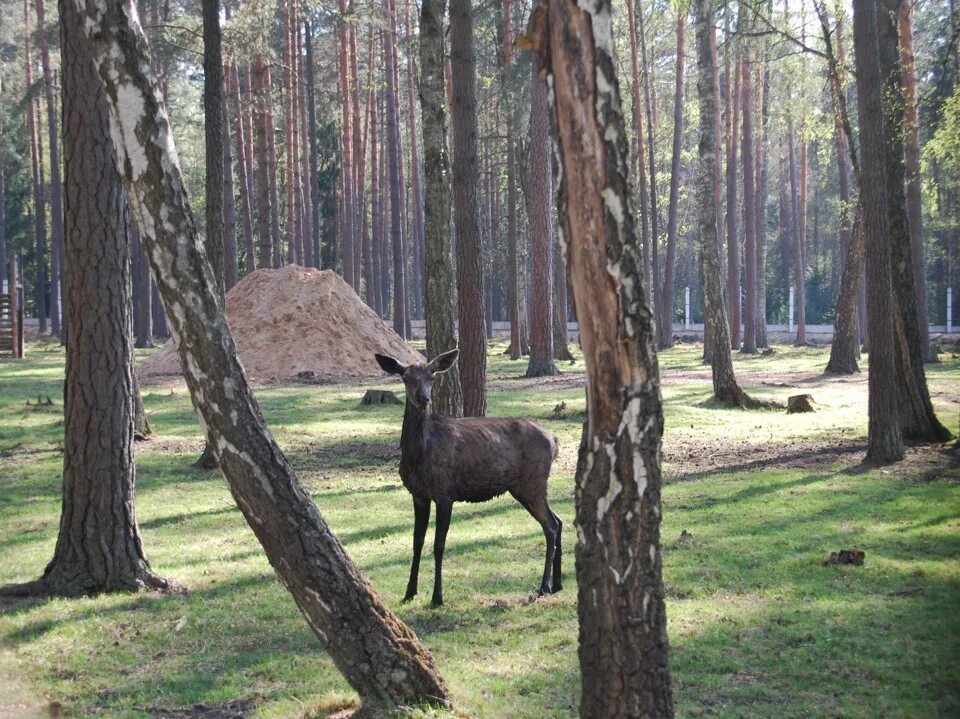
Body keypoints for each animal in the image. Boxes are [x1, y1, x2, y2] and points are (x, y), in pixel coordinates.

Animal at [376, 348, 564, 608]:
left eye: (432, 377)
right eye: (405, 377)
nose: (423, 399)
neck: (417, 457)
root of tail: (554, 442)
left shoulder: (445, 493)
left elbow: (439, 545)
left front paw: (437, 597)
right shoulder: (419, 495)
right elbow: (417, 542)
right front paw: (409, 592)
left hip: (532, 483)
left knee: (551, 525)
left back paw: (544, 585)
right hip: (525, 487)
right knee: (559, 520)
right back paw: (557, 584)